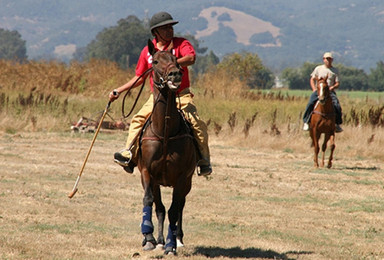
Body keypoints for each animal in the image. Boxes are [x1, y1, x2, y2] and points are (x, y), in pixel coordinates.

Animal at [136, 40, 196, 256]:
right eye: (154, 61)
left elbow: (173, 209)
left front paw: (171, 244)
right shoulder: (147, 172)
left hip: (187, 182)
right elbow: (150, 201)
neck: (165, 132)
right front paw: (149, 238)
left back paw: (177, 239)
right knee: (160, 207)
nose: (175, 74)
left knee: (179, 207)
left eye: (176, 60)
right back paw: (160, 239)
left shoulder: (181, 176)